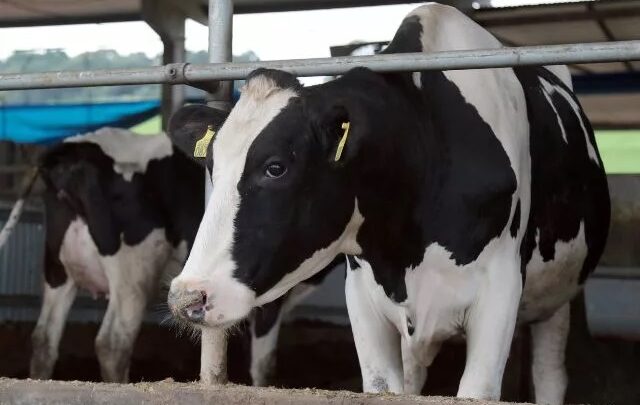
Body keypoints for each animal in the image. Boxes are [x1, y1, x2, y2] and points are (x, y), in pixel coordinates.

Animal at [169, 3, 608, 400]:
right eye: (211, 165)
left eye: (275, 167)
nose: (186, 296)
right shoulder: (363, 297)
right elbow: (384, 386)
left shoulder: (499, 290)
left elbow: (479, 389)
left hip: (557, 296)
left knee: (550, 375)